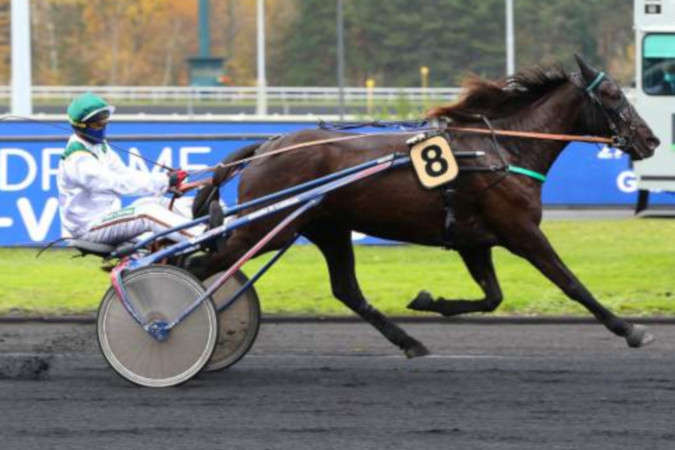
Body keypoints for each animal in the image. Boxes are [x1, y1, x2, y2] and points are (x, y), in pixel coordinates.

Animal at [188, 55, 659, 358]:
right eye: (613, 94)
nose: (651, 139)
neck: (501, 150)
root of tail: (268, 145)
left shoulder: (475, 241)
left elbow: (492, 297)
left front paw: (428, 300)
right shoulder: (522, 231)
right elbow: (571, 283)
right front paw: (630, 329)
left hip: (328, 228)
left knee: (346, 290)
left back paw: (410, 342)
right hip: (268, 228)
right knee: (198, 266)